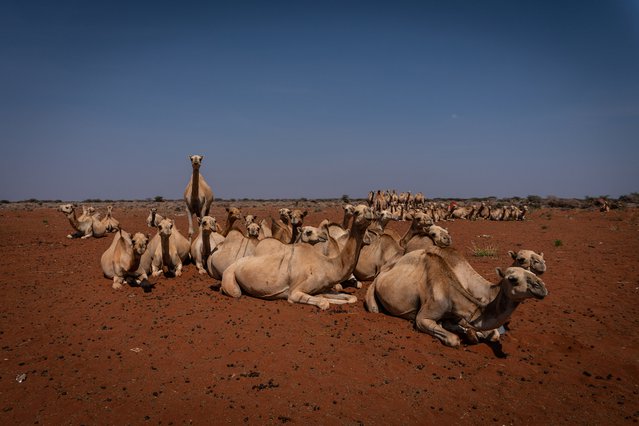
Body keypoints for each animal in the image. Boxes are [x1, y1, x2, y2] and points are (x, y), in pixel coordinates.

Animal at [222, 205, 378, 308]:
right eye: (357, 211)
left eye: (369, 208)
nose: (370, 212)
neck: (328, 265)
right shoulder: (295, 292)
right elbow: (324, 302)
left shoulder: (325, 287)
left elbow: (351, 297)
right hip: (230, 276)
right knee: (235, 292)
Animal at [368, 250, 548, 346]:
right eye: (513, 279)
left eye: (532, 274)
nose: (542, 287)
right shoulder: (423, 318)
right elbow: (454, 339)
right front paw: (468, 335)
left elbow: (489, 333)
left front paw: (472, 334)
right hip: (375, 288)